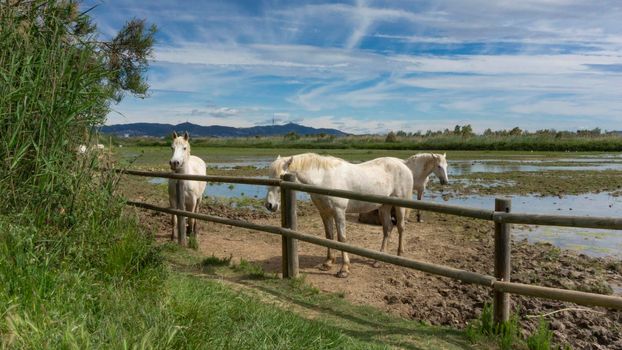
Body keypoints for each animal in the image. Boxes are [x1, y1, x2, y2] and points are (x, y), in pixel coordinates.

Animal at [264, 153, 414, 278]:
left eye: (280, 176)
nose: (269, 205)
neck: (323, 179)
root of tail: (403, 164)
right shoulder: (325, 213)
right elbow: (329, 236)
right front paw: (328, 263)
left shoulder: (339, 212)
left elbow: (342, 239)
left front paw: (344, 269)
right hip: (384, 207)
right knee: (387, 228)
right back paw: (378, 260)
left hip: (400, 206)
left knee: (401, 227)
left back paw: (400, 255)